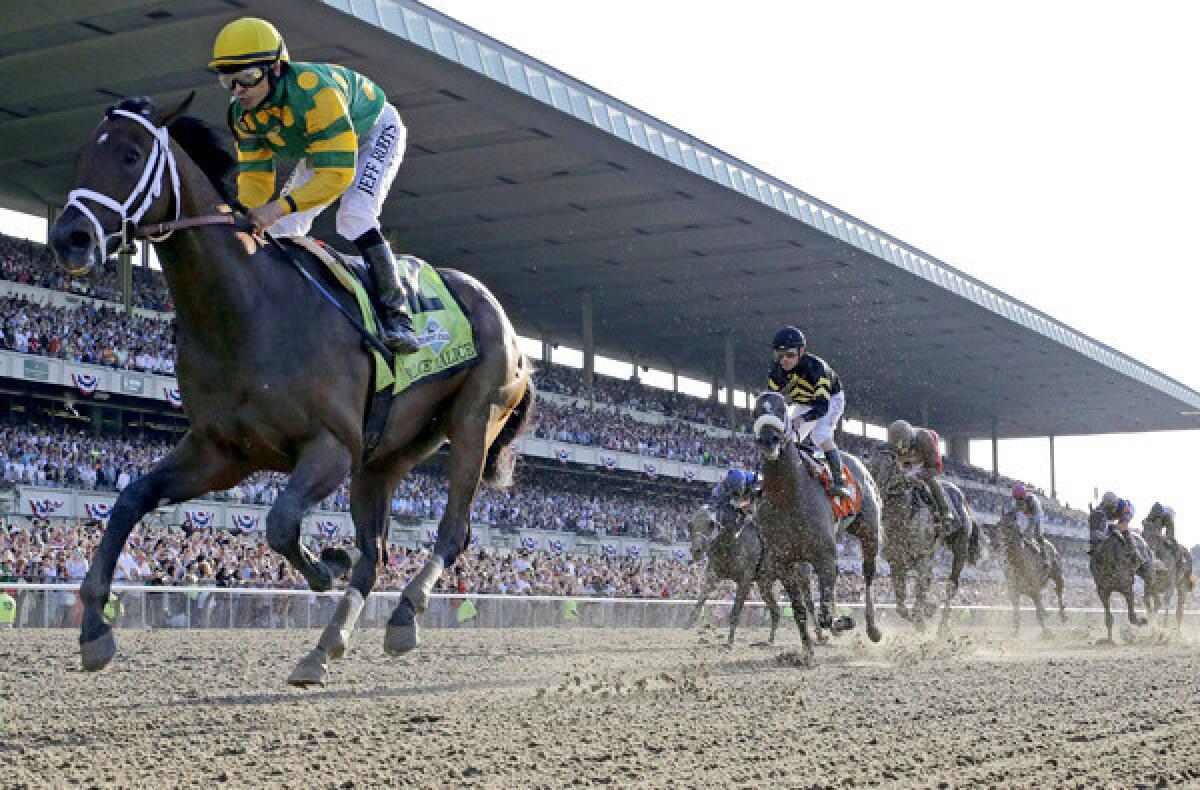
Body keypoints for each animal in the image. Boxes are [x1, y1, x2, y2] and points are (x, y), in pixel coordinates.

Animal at [51, 93, 530, 681]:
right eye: (80, 155)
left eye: (130, 154)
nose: (69, 238)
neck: (248, 313)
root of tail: (506, 322)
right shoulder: (222, 452)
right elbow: (128, 500)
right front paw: (95, 629)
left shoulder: (330, 447)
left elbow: (280, 524)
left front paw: (327, 563)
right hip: (385, 457)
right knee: (376, 556)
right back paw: (325, 646)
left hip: (471, 425)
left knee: (452, 530)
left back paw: (404, 612)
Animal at [686, 506, 787, 643]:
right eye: (690, 525)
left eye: (711, 523)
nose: (696, 551)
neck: (733, 541)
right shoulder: (714, 573)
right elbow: (703, 595)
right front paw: (690, 621)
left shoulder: (745, 578)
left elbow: (736, 610)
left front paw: (730, 640)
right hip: (764, 584)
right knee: (775, 611)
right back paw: (770, 640)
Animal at [748, 391, 883, 662]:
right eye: (756, 411)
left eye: (782, 410)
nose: (769, 440)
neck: (788, 496)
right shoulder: (784, 562)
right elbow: (801, 609)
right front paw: (807, 653)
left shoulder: (825, 557)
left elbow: (825, 614)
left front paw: (843, 623)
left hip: (869, 531)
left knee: (868, 574)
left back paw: (872, 628)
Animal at [868, 446, 988, 629]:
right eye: (868, 467)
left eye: (887, 468)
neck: (903, 518)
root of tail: (963, 500)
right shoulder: (896, 562)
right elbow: (901, 604)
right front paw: (925, 611)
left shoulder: (923, 558)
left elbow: (920, 588)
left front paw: (922, 616)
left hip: (960, 547)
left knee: (951, 585)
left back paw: (943, 627)